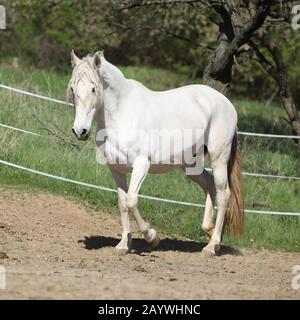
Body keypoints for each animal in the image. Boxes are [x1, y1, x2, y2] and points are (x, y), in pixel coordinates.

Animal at [68, 50, 244, 258]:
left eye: (94, 89)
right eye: (72, 88)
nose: (80, 131)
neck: (121, 114)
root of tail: (227, 104)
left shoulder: (141, 164)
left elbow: (131, 200)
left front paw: (152, 237)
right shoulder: (116, 169)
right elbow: (122, 203)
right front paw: (123, 245)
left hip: (219, 158)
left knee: (224, 194)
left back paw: (212, 246)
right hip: (191, 165)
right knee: (210, 186)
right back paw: (209, 232)